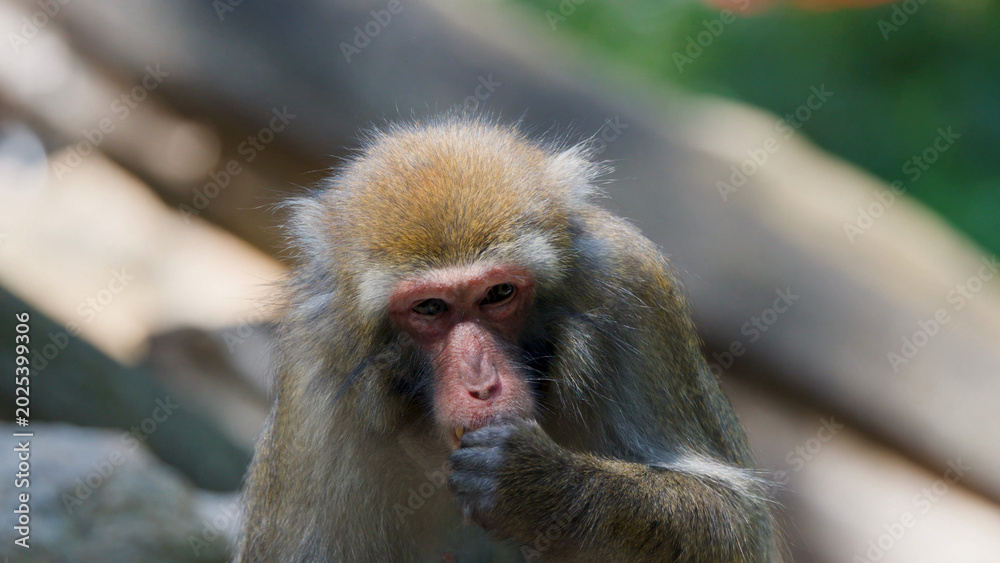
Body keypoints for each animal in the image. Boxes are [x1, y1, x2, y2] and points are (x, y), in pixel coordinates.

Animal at [237, 115, 779, 562]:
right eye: (429, 307)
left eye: (498, 293)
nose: (482, 385)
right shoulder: (314, 380)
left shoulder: (635, 291)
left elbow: (738, 522)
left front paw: (542, 488)